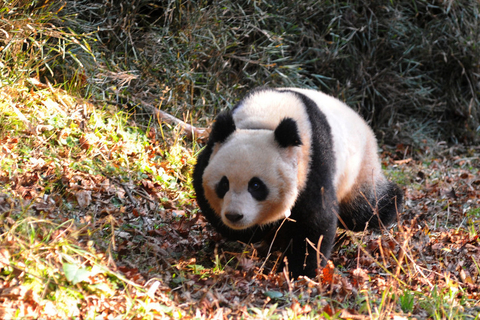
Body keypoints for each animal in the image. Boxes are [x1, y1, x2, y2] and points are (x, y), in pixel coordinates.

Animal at [193, 87, 404, 278]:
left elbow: (314, 221)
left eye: (256, 186)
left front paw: (300, 271)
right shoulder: (212, 150)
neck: (265, 122)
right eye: (224, 184)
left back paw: (394, 201)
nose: (234, 215)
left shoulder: (313, 162)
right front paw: (253, 232)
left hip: (358, 168)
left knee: (364, 208)